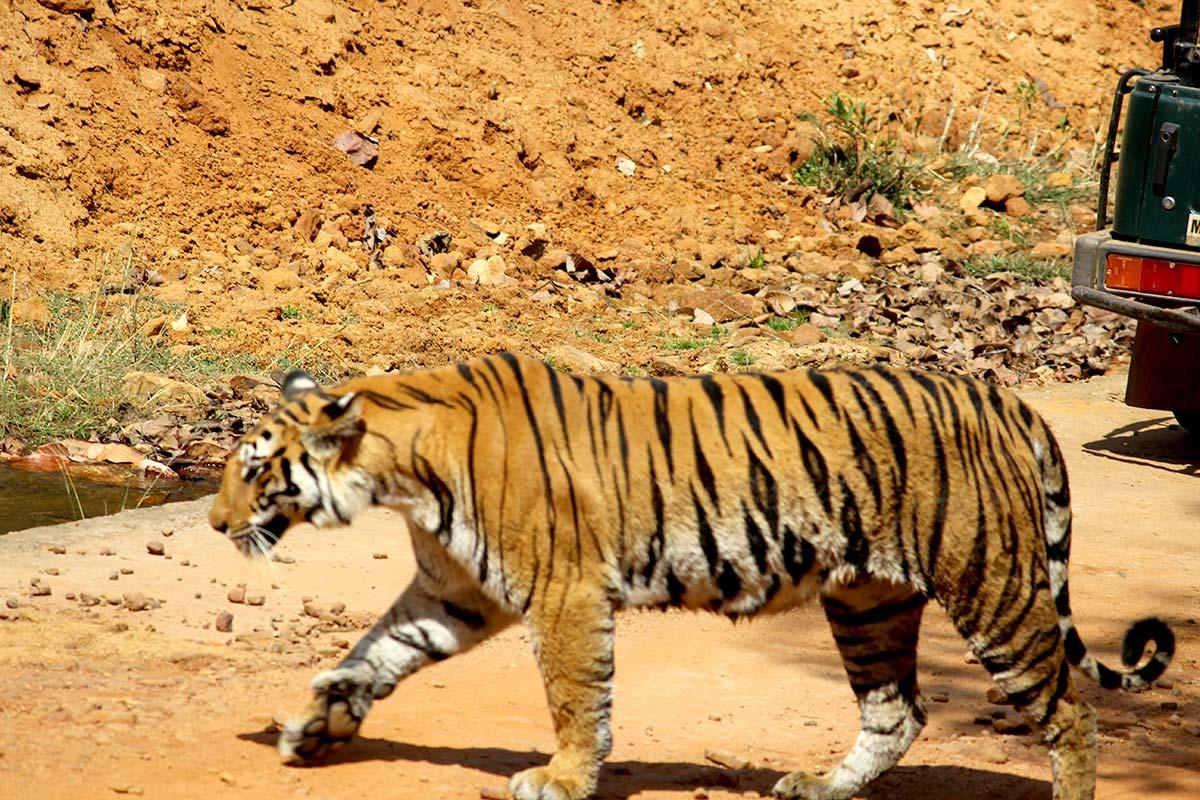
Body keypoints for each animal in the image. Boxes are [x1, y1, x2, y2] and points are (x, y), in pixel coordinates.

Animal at [208, 352, 1174, 800]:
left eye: (255, 470)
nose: (216, 525)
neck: (400, 471)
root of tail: (1003, 397)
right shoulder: (454, 594)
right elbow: (371, 656)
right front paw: (316, 726)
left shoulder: (563, 594)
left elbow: (575, 697)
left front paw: (561, 777)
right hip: (869, 598)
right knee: (898, 711)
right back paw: (822, 786)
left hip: (993, 585)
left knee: (1071, 712)